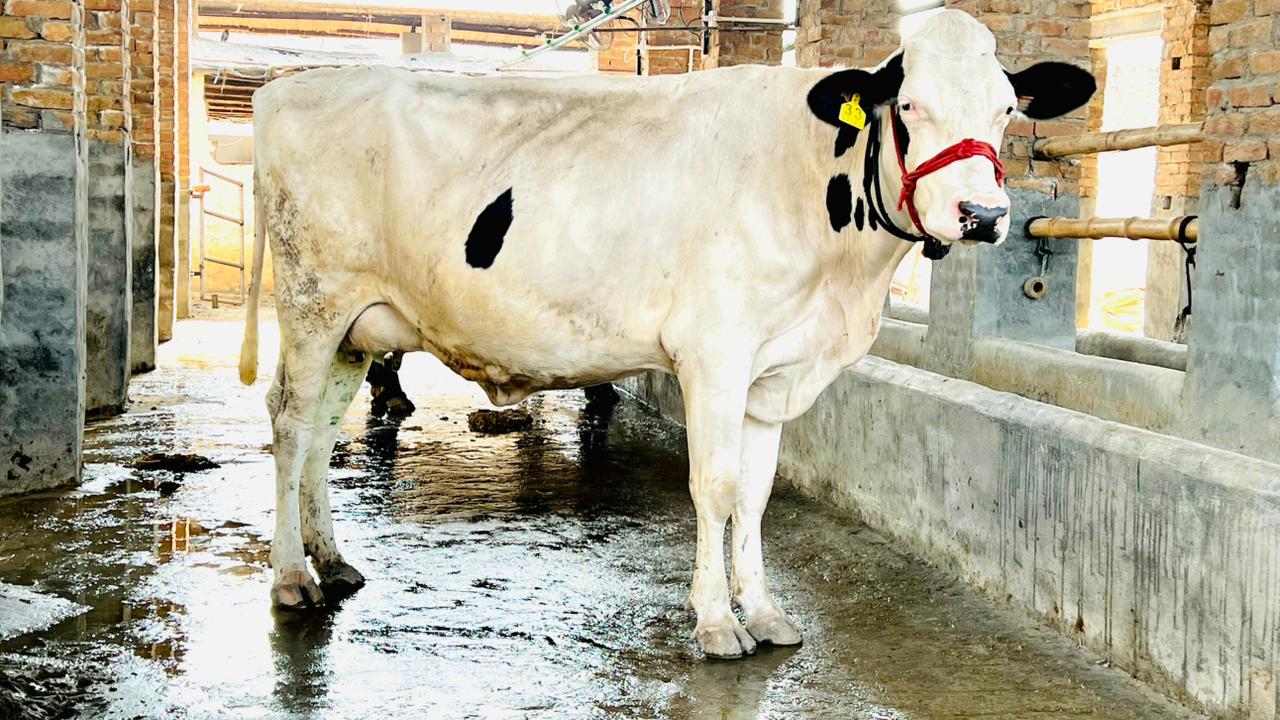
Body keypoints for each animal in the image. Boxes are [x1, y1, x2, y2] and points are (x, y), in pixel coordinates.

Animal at [238, 9, 1094, 659]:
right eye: (910, 106)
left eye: (1006, 110)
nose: (982, 215)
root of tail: (289, 88)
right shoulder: (714, 354)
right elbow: (713, 487)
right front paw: (716, 623)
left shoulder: (773, 372)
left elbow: (754, 495)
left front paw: (766, 612)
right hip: (314, 301)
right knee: (290, 424)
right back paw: (290, 577)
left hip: (358, 327)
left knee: (321, 432)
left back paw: (333, 559)